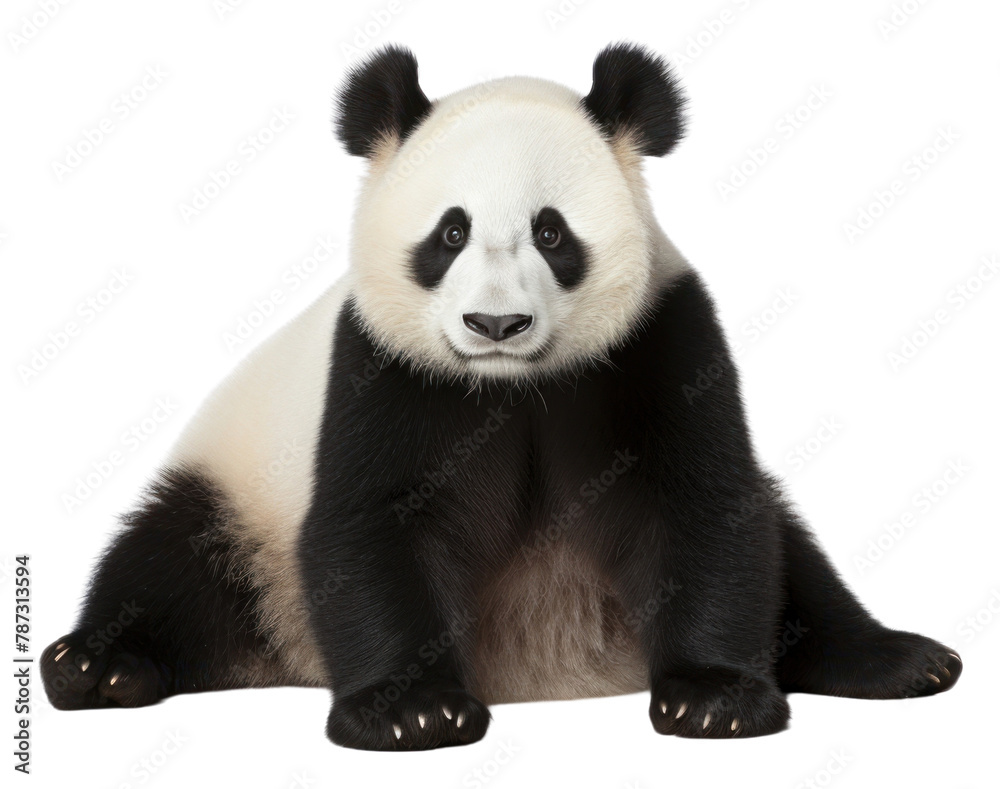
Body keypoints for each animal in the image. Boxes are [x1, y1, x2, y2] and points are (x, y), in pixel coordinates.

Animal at [42, 43, 962, 750]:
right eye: (450, 232)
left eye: (552, 233)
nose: (495, 322)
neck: (512, 386)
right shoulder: (383, 368)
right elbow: (372, 523)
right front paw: (413, 712)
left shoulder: (661, 339)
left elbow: (705, 504)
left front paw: (713, 697)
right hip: (241, 494)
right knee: (173, 556)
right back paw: (96, 665)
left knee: (795, 555)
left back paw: (901, 659)